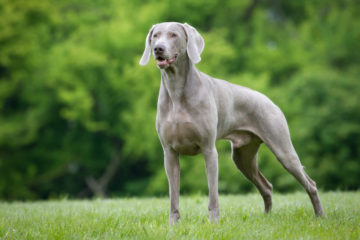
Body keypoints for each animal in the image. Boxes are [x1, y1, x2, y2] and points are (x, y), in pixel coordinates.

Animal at [139, 21, 324, 224]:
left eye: (173, 35)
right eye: (155, 35)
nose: (158, 48)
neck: (176, 90)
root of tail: (270, 101)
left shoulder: (209, 149)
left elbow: (213, 194)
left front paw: (213, 223)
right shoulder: (169, 152)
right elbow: (174, 196)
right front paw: (173, 225)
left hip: (282, 149)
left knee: (310, 183)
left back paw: (320, 215)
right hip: (243, 157)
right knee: (266, 186)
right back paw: (267, 217)